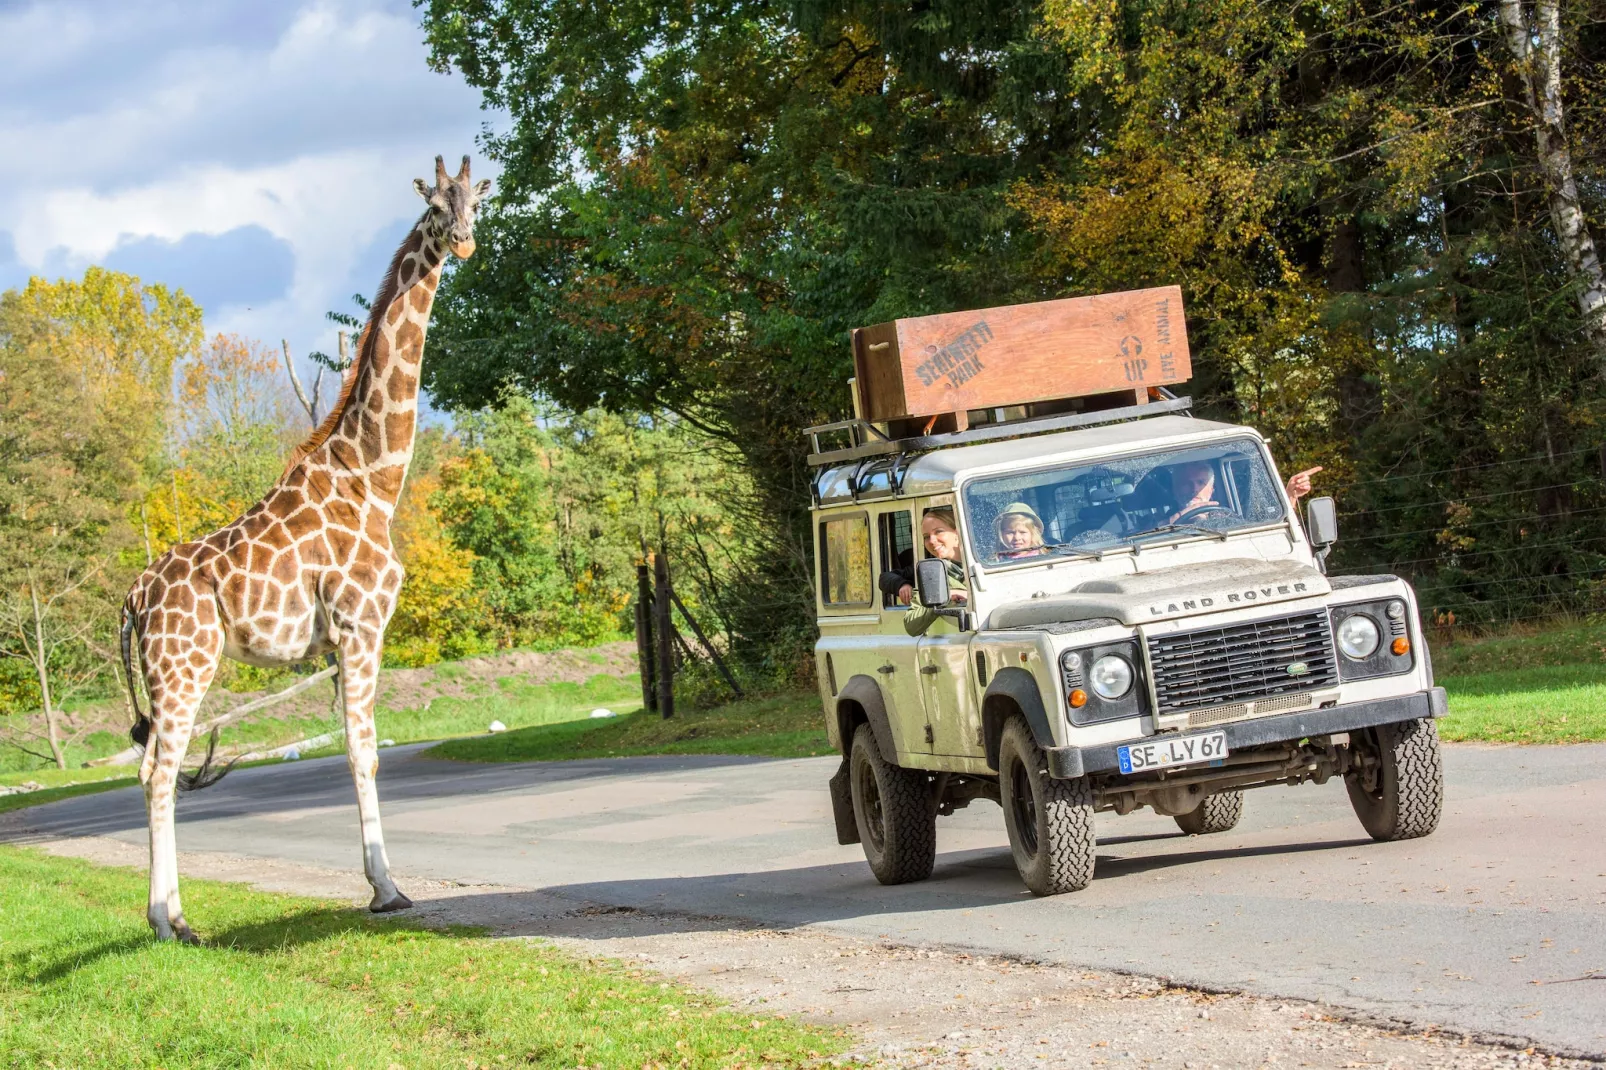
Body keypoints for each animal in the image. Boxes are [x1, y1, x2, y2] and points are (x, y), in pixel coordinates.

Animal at [119, 154, 488, 938]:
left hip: (172, 675)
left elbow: (357, 750)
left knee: (150, 768)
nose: (464, 240)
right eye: (435, 204)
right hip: (185, 667)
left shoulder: (342, 639)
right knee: (160, 770)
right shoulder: (361, 623)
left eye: (478, 199)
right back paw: (168, 921)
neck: (374, 475)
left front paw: (382, 884)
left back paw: (175, 917)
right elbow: (364, 754)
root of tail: (133, 598)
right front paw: (387, 890)